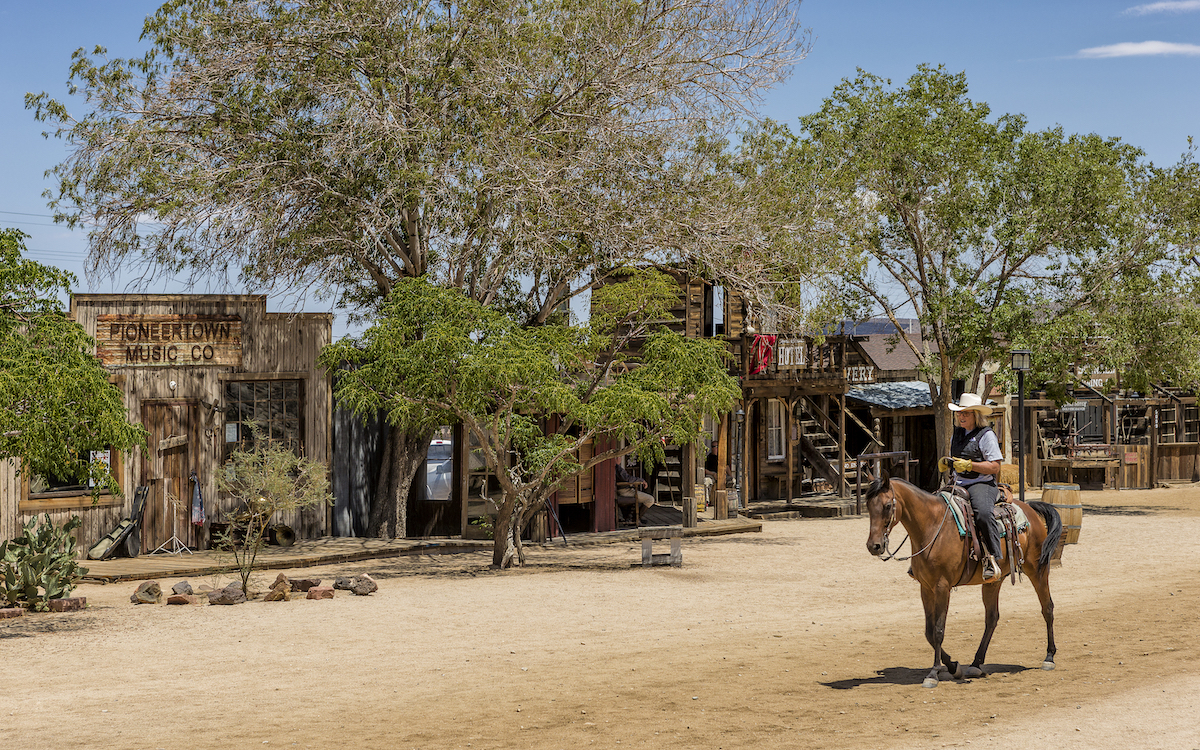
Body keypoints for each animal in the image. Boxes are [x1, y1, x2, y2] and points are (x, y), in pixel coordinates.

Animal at [864, 477, 1060, 686]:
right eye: (868, 506)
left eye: (887, 506)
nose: (874, 546)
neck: (932, 526)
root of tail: (1029, 508)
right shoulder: (926, 588)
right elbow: (929, 632)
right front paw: (953, 667)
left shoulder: (942, 587)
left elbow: (938, 630)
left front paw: (934, 673)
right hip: (994, 581)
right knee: (992, 618)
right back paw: (976, 663)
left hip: (1038, 569)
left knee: (1047, 608)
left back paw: (1049, 657)